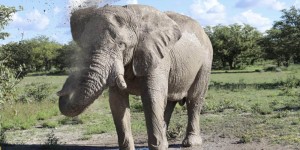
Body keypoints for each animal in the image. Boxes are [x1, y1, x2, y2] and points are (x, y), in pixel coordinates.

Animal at [57, 4, 213, 149]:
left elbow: (152, 98)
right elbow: (117, 102)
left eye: (122, 45)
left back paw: (190, 143)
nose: (64, 89)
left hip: (205, 62)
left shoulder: (158, 56)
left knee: (194, 100)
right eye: (82, 47)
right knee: (169, 101)